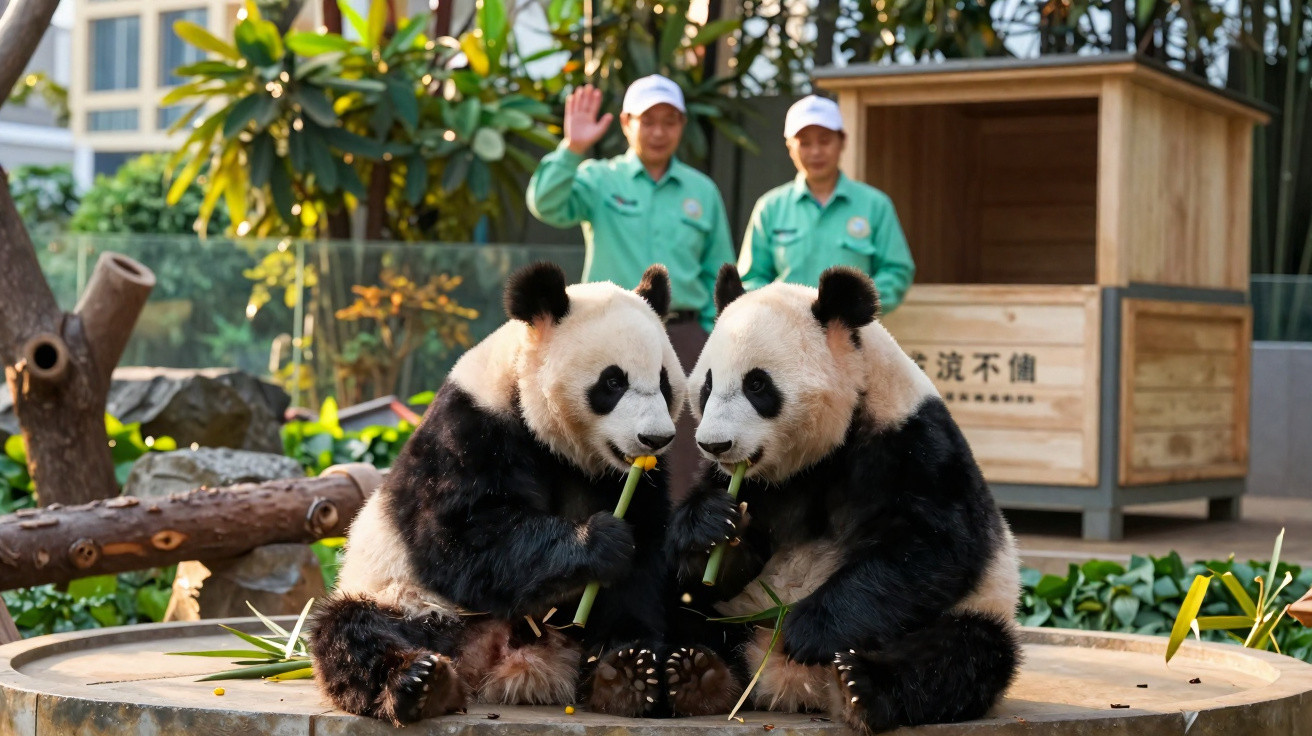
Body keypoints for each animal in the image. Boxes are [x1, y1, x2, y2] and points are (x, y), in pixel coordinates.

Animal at [310, 262, 688, 726]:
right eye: (613, 382)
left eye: (664, 382)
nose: (654, 439)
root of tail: (499, 667)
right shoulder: (469, 432)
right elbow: (465, 535)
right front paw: (600, 540)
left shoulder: (633, 481)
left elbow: (643, 562)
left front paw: (633, 655)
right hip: (411, 601)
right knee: (351, 632)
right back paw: (419, 683)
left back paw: (632, 674)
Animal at [664, 265, 1021, 733]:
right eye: (706, 385)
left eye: (757, 384)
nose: (715, 445)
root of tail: (789, 685)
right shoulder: (754, 485)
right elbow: (708, 557)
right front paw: (718, 531)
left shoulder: (912, 446)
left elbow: (933, 546)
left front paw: (807, 630)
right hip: (726, 614)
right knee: (672, 609)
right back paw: (690, 673)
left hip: (972, 611)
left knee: (963, 654)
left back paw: (859, 688)